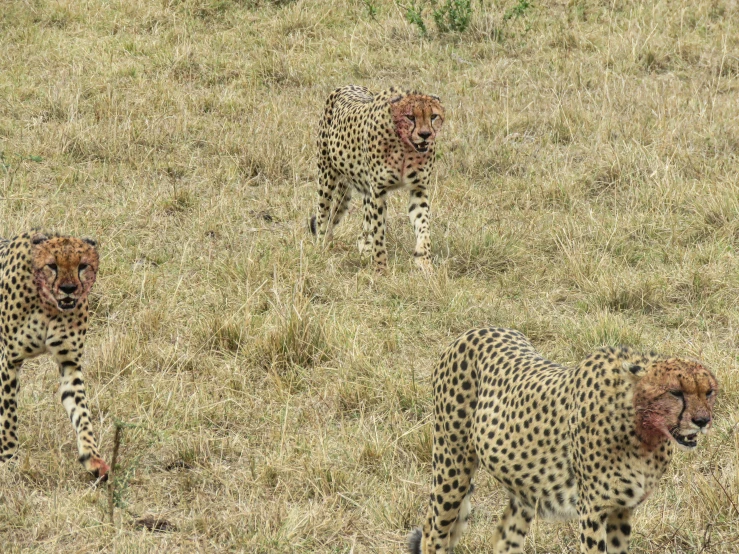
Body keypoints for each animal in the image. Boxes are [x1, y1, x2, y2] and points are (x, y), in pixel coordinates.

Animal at [0, 231, 109, 476]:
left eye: (82, 265)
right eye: (52, 265)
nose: (68, 288)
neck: (48, 306)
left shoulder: (70, 363)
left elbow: (82, 412)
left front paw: (92, 457)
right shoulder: (8, 361)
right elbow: (7, 415)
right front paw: (8, 458)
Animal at [308, 84, 446, 272]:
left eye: (433, 116)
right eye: (410, 117)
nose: (425, 134)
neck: (405, 146)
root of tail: (347, 86)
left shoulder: (418, 188)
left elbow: (423, 226)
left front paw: (424, 262)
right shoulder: (379, 191)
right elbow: (379, 231)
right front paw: (380, 267)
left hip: (362, 190)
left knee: (359, 231)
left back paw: (364, 253)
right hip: (327, 177)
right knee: (323, 216)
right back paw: (321, 248)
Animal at [408, 326, 720, 548]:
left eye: (709, 392)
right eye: (675, 392)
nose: (702, 421)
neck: (641, 430)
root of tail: (475, 329)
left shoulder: (622, 509)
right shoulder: (592, 509)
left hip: (523, 485)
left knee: (503, 538)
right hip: (452, 466)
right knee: (433, 533)